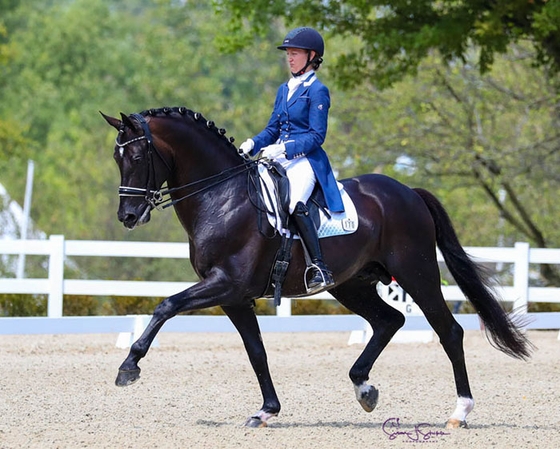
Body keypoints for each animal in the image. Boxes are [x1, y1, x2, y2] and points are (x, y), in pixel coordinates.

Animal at [101, 105, 532, 428]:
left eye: (137, 157)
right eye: (116, 158)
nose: (128, 216)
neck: (222, 197)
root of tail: (408, 192)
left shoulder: (226, 284)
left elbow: (165, 306)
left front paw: (128, 367)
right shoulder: (233, 297)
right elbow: (256, 351)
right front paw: (266, 411)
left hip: (417, 274)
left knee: (449, 332)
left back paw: (459, 411)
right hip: (350, 284)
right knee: (389, 321)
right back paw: (364, 389)